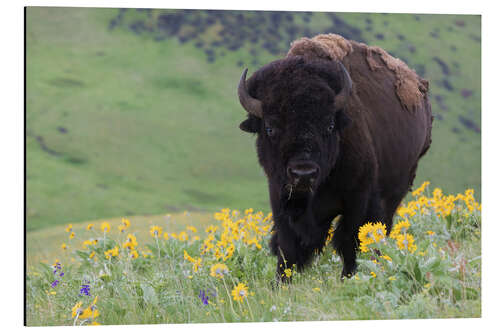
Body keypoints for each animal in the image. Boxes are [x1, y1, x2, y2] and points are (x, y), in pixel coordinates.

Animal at [236, 33, 432, 280]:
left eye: (329, 125)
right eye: (270, 128)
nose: (303, 173)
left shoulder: (358, 200)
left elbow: (351, 241)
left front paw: (350, 278)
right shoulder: (281, 200)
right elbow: (288, 248)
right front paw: (281, 282)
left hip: (396, 190)